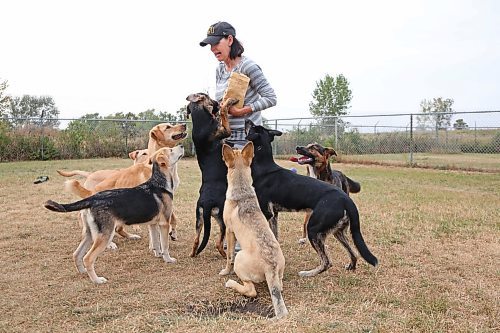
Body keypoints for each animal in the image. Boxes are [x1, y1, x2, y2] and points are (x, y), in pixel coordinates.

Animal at [44, 145, 184, 282]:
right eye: (171, 150)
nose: (182, 145)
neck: (159, 183)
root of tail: (92, 198)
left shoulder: (153, 225)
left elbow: (156, 243)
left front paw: (158, 255)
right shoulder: (164, 223)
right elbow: (165, 245)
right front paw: (168, 259)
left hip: (90, 234)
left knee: (77, 254)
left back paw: (83, 272)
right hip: (105, 234)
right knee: (88, 258)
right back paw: (97, 280)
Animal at [186, 93, 236, 256]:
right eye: (207, 96)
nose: (217, 102)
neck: (199, 119)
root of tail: (207, 203)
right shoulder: (225, 130)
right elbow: (224, 114)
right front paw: (227, 103)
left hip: (199, 218)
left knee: (196, 240)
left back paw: (193, 254)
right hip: (222, 217)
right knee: (218, 244)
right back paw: (227, 256)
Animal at [220, 142, 288, 320]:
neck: (241, 189)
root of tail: (271, 267)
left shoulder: (229, 231)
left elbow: (229, 256)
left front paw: (225, 272)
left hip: (240, 260)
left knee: (251, 291)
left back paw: (231, 283)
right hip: (280, 273)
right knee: (280, 286)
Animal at [244, 118, 376, 274]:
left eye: (252, 127)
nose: (247, 119)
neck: (264, 166)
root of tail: (346, 199)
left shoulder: (266, 213)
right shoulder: (274, 215)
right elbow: (274, 237)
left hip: (313, 229)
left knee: (327, 262)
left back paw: (308, 273)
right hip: (337, 231)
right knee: (353, 253)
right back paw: (351, 266)